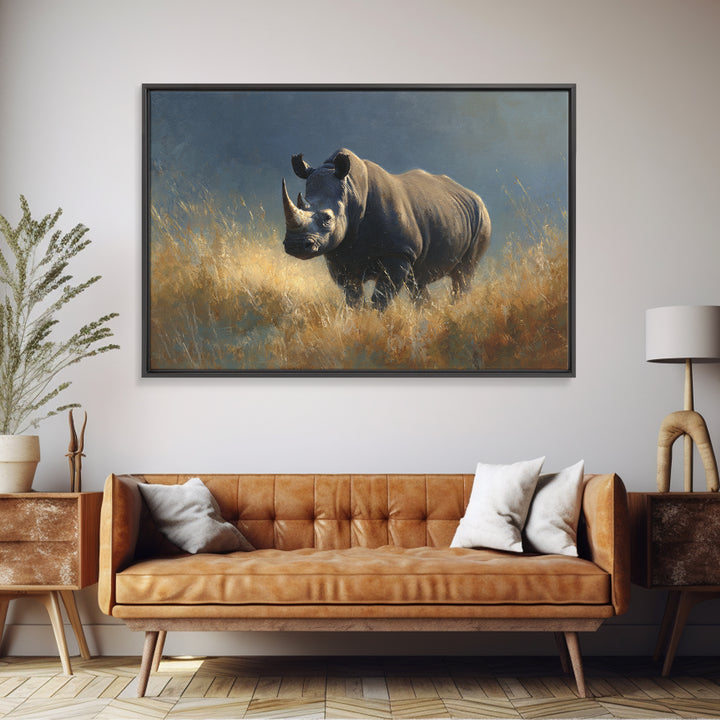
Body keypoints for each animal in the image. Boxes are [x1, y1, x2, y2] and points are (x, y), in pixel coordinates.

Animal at [282, 148, 491, 310]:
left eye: (327, 219)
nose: (295, 245)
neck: (351, 192)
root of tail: (473, 195)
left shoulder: (399, 252)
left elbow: (381, 298)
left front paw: (375, 323)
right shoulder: (339, 257)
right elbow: (353, 298)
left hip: (482, 219)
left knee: (463, 275)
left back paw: (456, 310)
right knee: (418, 282)